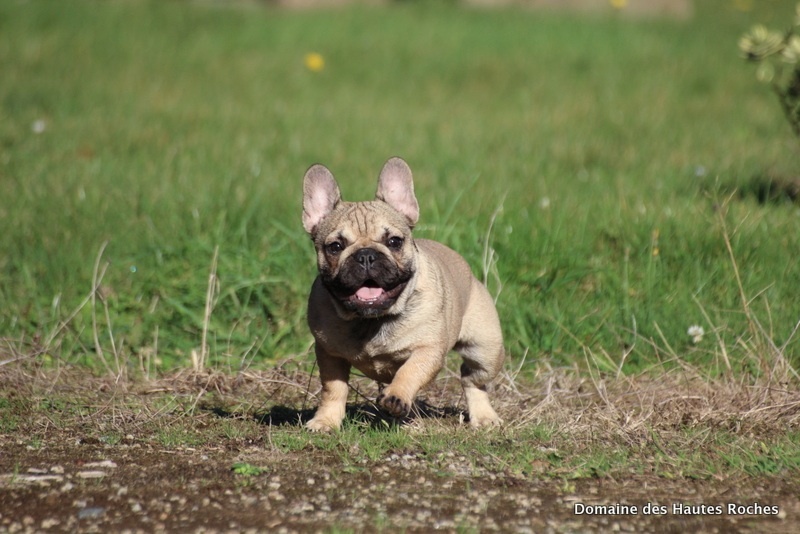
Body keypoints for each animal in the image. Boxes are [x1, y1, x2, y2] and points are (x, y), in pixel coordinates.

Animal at [304, 157, 504, 434]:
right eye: (335, 247)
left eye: (394, 242)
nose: (366, 255)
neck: (371, 320)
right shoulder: (329, 354)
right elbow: (333, 389)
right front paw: (325, 421)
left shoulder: (428, 349)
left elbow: (410, 371)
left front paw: (396, 396)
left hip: (486, 350)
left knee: (472, 379)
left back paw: (484, 416)